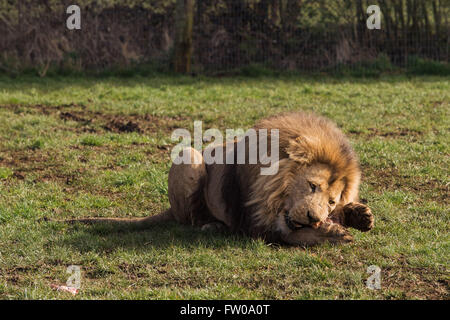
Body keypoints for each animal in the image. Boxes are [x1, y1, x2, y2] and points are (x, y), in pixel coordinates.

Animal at [67, 111, 376, 246]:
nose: (314, 217)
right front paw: (330, 233)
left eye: (332, 201)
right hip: (190, 156)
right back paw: (212, 226)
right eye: (311, 186)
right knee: (190, 220)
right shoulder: (255, 224)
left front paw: (359, 215)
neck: (274, 189)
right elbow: (294, 235)